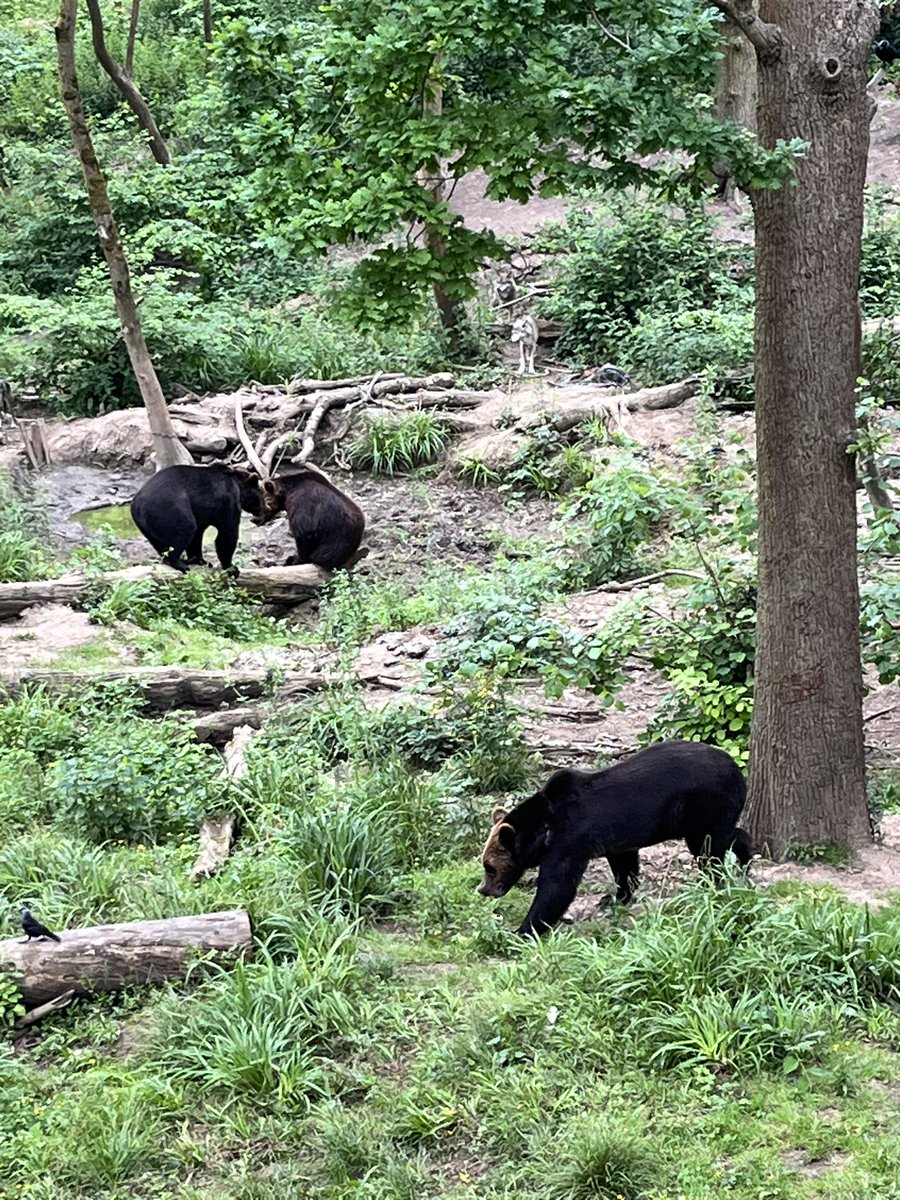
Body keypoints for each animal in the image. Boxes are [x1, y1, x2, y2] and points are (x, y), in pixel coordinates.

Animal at [130, 464, 263, 572]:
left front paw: (200, 560)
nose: (263, 511)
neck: (238, 485)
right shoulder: (228, 501)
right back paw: (179, 563)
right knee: (184, 528)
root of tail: (137, 504)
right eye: (261, 497)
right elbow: (227, 533)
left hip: (147, 524)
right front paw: (231, 567)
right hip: (169, 508)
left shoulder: (201, 512)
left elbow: (197, 535)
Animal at [478, 739, 752, 936]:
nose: (483, 889)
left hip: (703, 804)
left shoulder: (569, 840)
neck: (544, 829)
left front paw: (522, 930)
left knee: (709, 844)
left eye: (489, 867)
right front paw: (614, 897)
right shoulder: (615, 839)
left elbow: (557, 887)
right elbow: (624, 866)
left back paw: (722, 873)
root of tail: (737, 769)